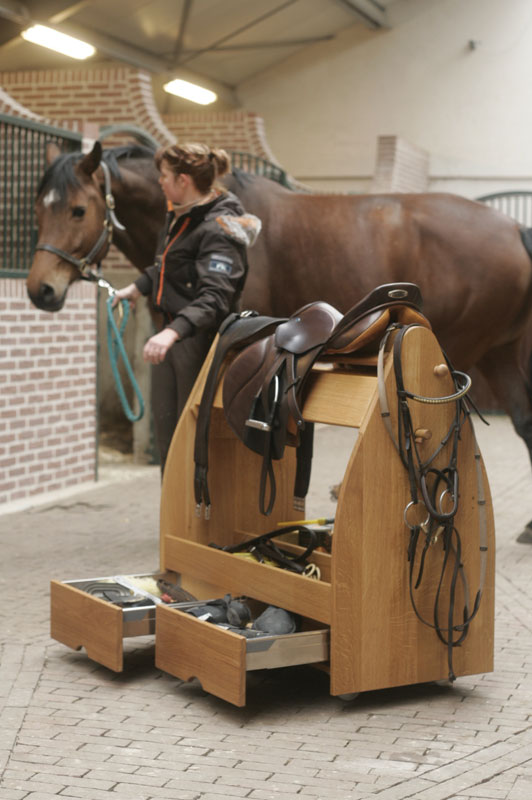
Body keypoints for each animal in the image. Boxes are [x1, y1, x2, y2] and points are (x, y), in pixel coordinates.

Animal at [26, 141, 532, 484]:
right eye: (38, 209)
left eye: (78, 210)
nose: (40, 290)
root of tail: (512, 229)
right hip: (498, 352)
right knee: (523, 420)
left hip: (454, 351)